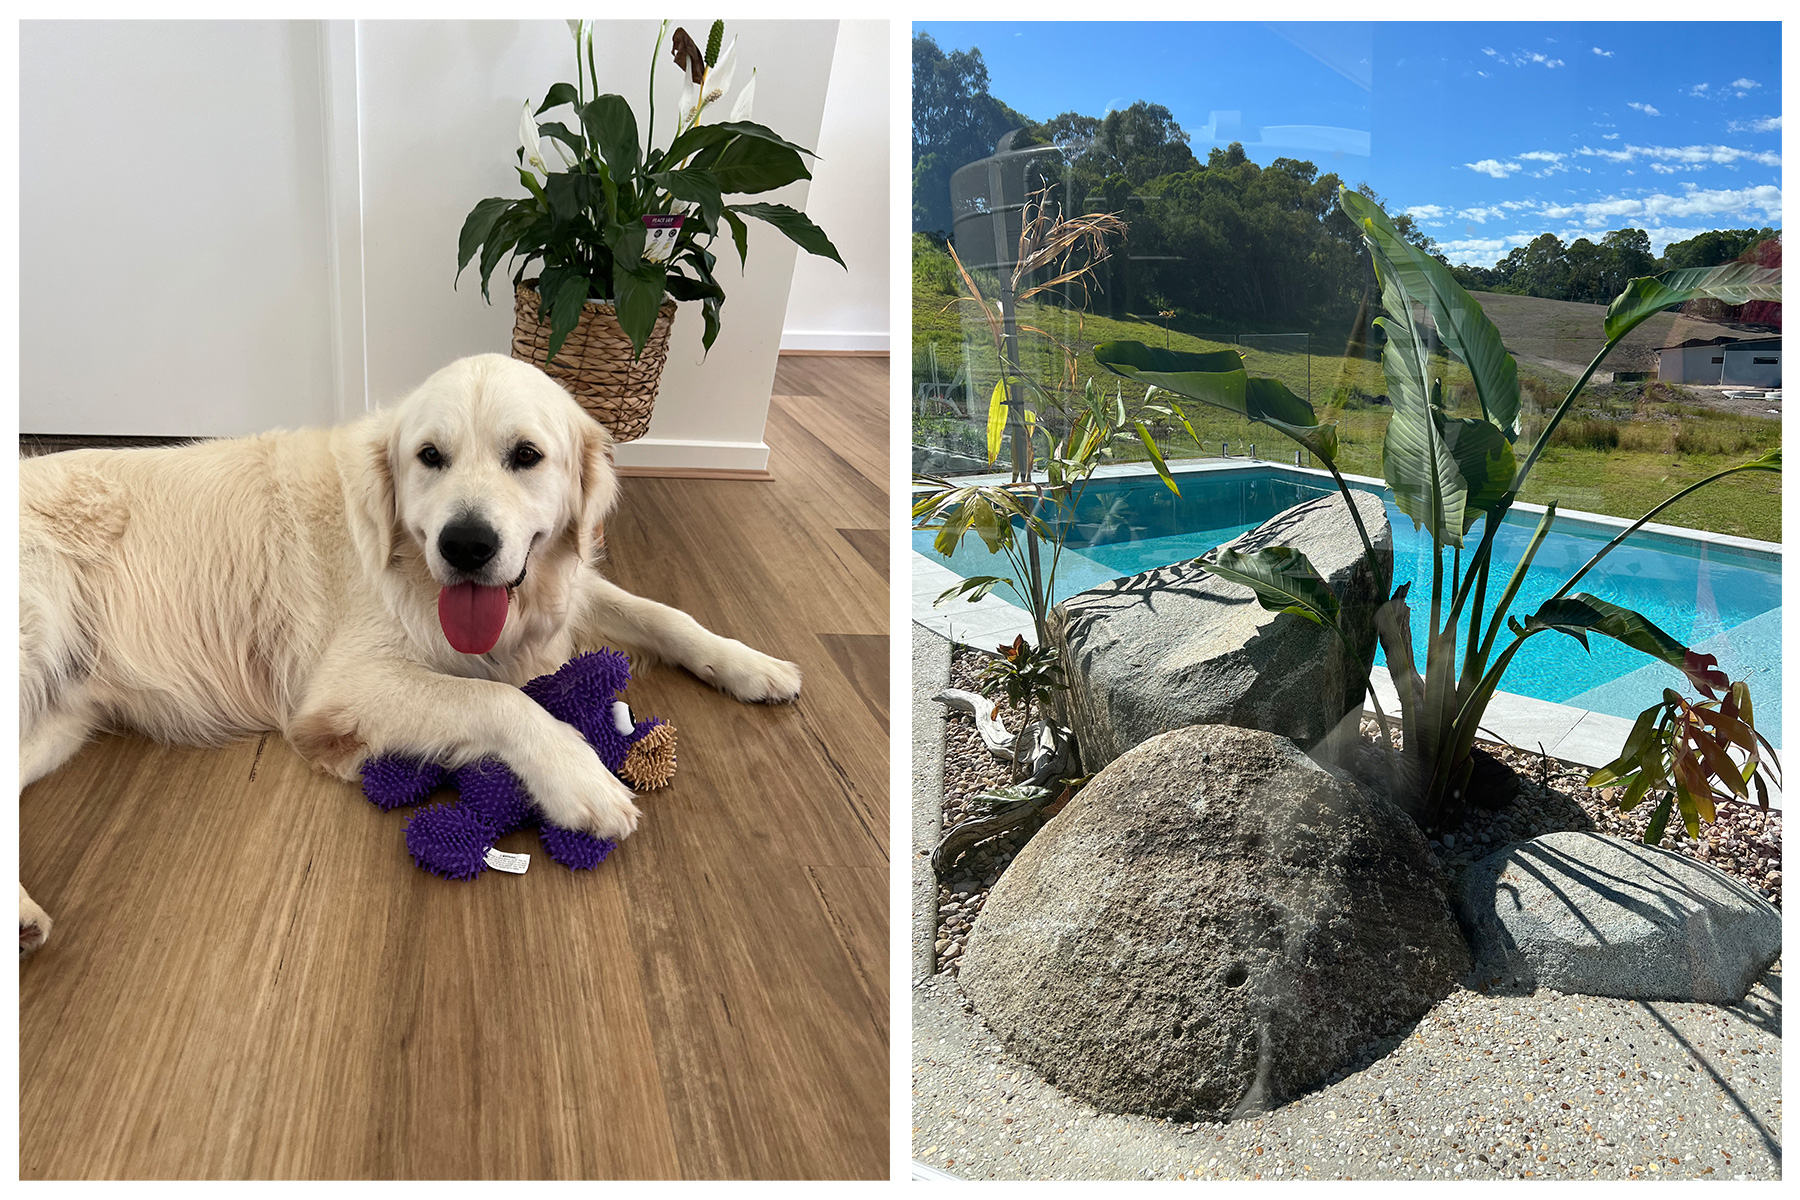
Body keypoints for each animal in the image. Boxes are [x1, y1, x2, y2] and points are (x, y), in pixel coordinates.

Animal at [19, 352, 795, 949]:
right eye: (430, 457)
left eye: (526, 456)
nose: (467, 545)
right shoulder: (346, 686)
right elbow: (500, 697)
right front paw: (584, 783)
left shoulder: (561, 596)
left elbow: (665, 614)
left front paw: (750, 664)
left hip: (61, 716)